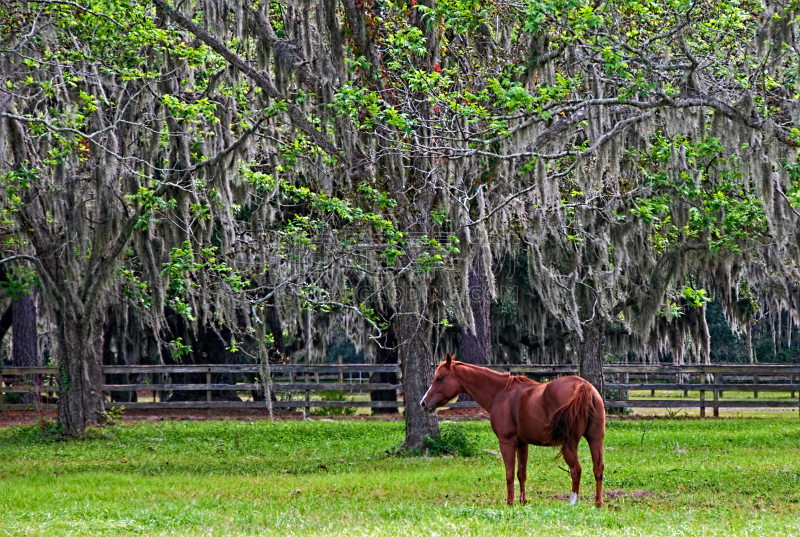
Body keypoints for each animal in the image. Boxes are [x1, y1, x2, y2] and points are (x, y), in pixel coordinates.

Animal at [422, 354, 604, 504]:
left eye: (439, 378)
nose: (423, 403)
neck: (501, 392)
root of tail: (584, 385)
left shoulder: (506, 442)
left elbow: (509, 474)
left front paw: (510, 502)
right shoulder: (522, 444)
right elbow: (521, 473)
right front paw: (523, 501)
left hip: (569, 443)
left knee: (576, 470)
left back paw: (573, 502)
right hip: (595, 439)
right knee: (598, 469)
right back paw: (598, 503)